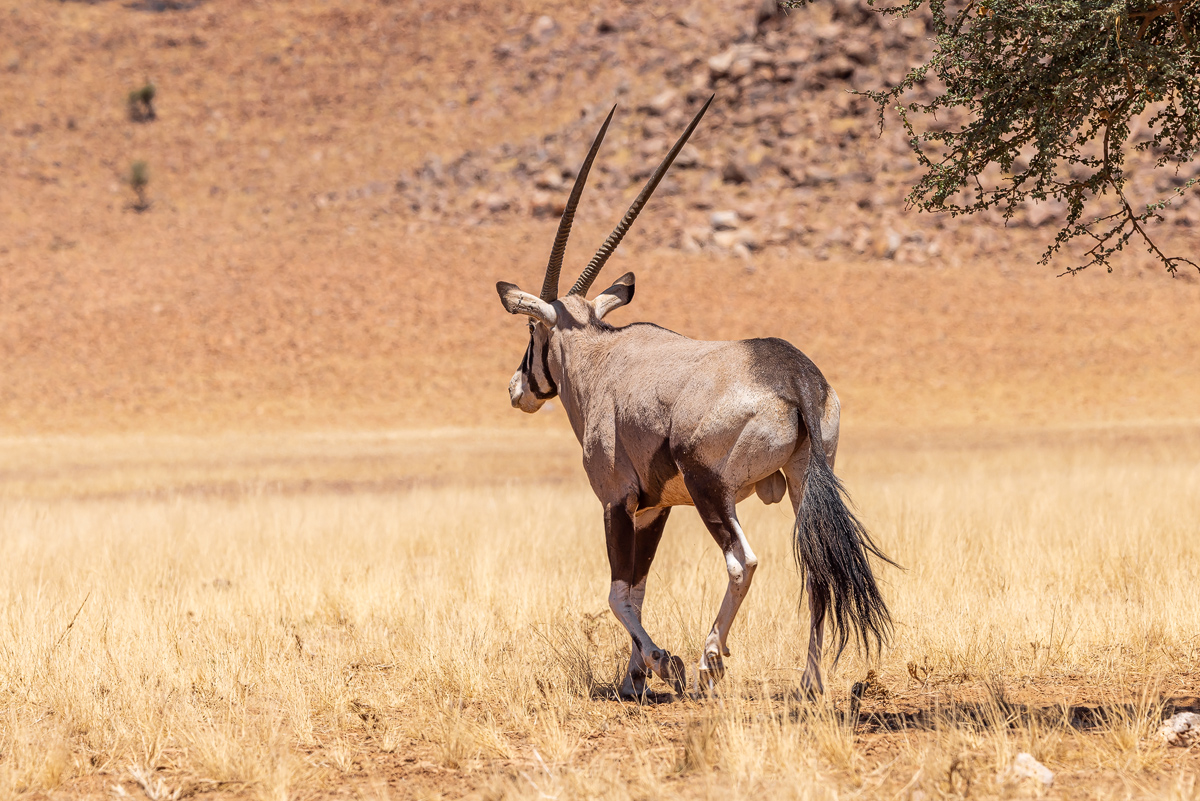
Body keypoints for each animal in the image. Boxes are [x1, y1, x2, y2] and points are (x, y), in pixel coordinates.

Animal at [492, 97, 897, 695]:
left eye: (530, 331)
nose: (517, 388)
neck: (598, 358)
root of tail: (793, 376)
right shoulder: (654, 507)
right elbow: (637, 589)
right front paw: (634, 677)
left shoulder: (617, 501)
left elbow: (617, 593)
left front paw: (663, 663)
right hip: (804, 479)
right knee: (818, 565)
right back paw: (809, 681)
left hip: (712, 489)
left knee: (742, 562)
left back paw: (709, 660)